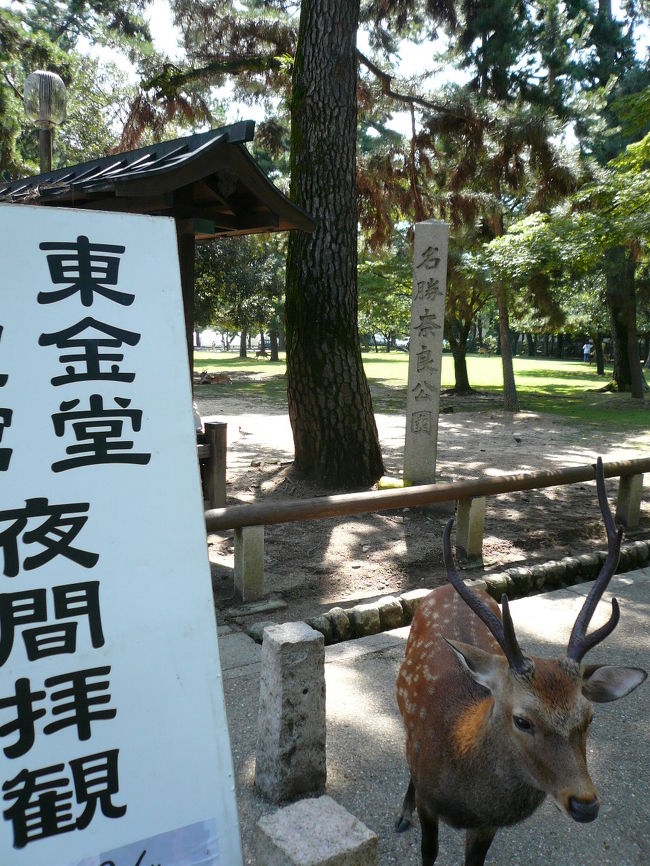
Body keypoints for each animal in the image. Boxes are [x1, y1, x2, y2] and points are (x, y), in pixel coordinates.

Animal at [395, 458, 646, 866]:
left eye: (589, 717)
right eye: (522, 720)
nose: (586, 805)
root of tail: (446, 586)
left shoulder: (487, 826)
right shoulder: (430, 802)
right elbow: (428, 852)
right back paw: (402, 813)